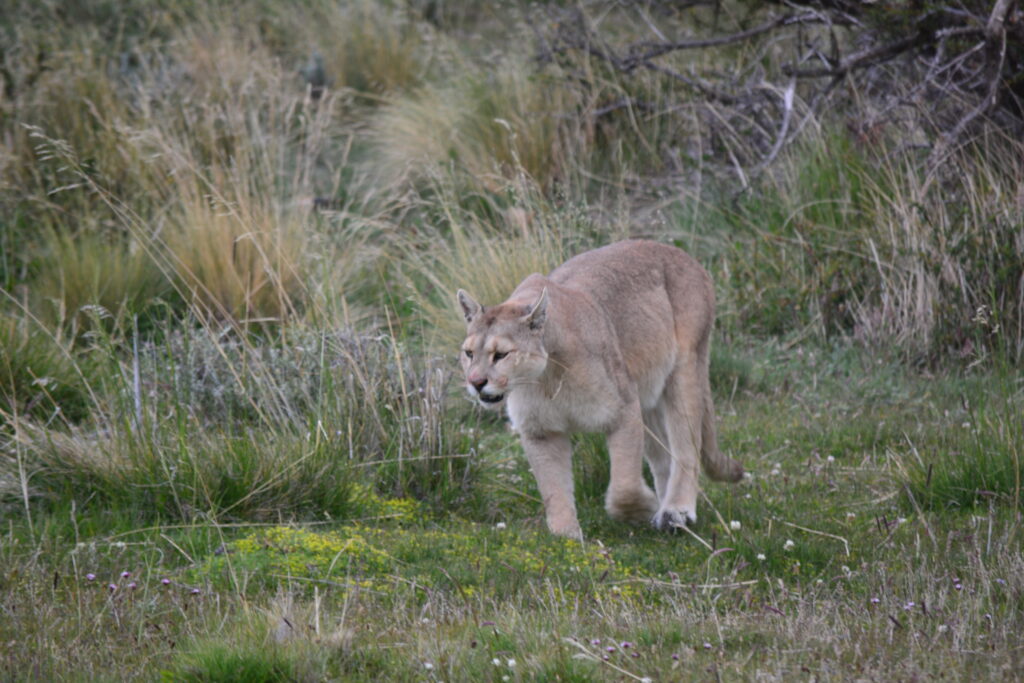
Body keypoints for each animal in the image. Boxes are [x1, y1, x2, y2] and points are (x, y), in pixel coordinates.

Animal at [457, 239, 743, 540]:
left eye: (501, 354)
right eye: (468, 353)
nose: (476, 382)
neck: (546, 377)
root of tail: (680, 253)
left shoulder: (624, 410)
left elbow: (624, 485)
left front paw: (642, 507)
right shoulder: (540, 431)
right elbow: (554, 489)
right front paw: (566, 537)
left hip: (685, 368)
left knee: (687, 447)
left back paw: (675, 510)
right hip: (648, 396)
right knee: (664, 457)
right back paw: (667, 514)